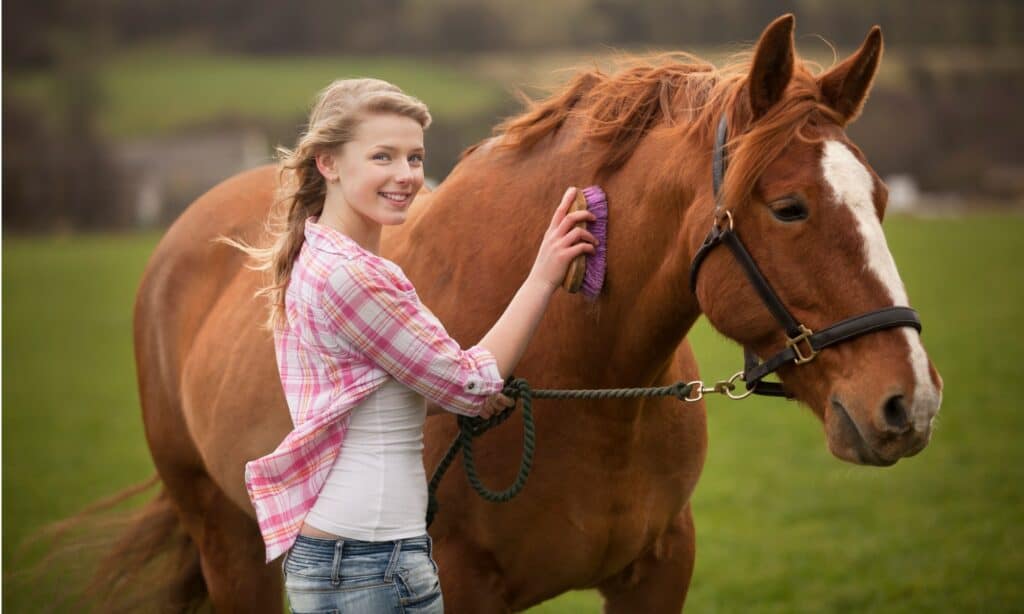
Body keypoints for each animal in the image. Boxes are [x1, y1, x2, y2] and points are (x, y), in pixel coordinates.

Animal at [88, 14, 942, 614]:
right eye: (790, 207)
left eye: (881, 199)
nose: (911, 402)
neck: (587, 387)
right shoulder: (460, 585)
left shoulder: (658, 570)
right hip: (228, 543)